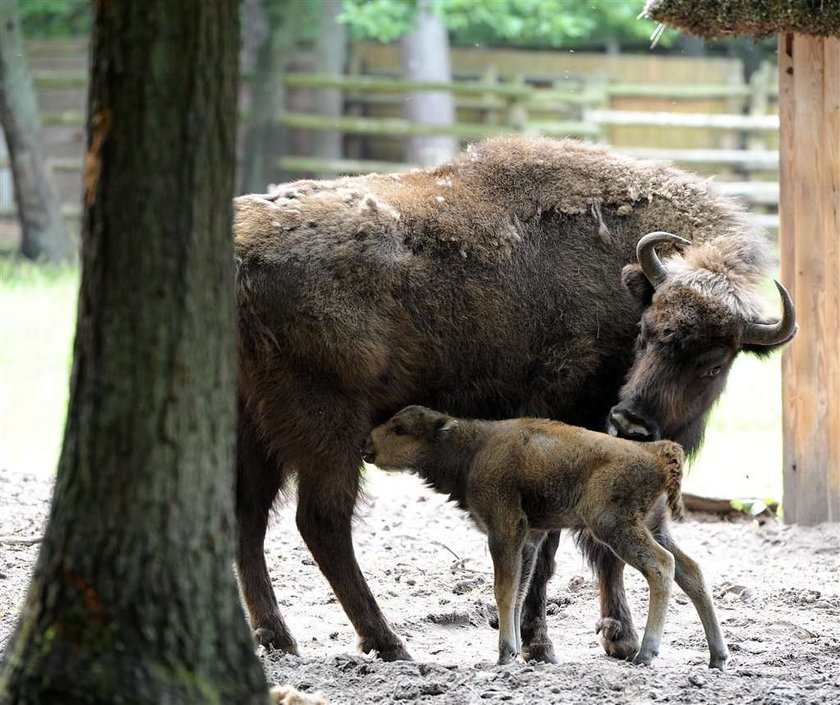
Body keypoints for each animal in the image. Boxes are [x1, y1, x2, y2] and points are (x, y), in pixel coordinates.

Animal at [366, 404, 728, 668]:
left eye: (400, 429)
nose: (367, 445)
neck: (474, 447)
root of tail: (655, 453)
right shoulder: (530, 537)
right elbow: (519, 590)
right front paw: (513, 652)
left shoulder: (504, 529)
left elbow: (504, 590)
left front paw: (504, 654)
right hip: (655, 527)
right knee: (691, 571)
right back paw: (717, 658)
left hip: (615, 527)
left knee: (661, 566)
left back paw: (646, 654)